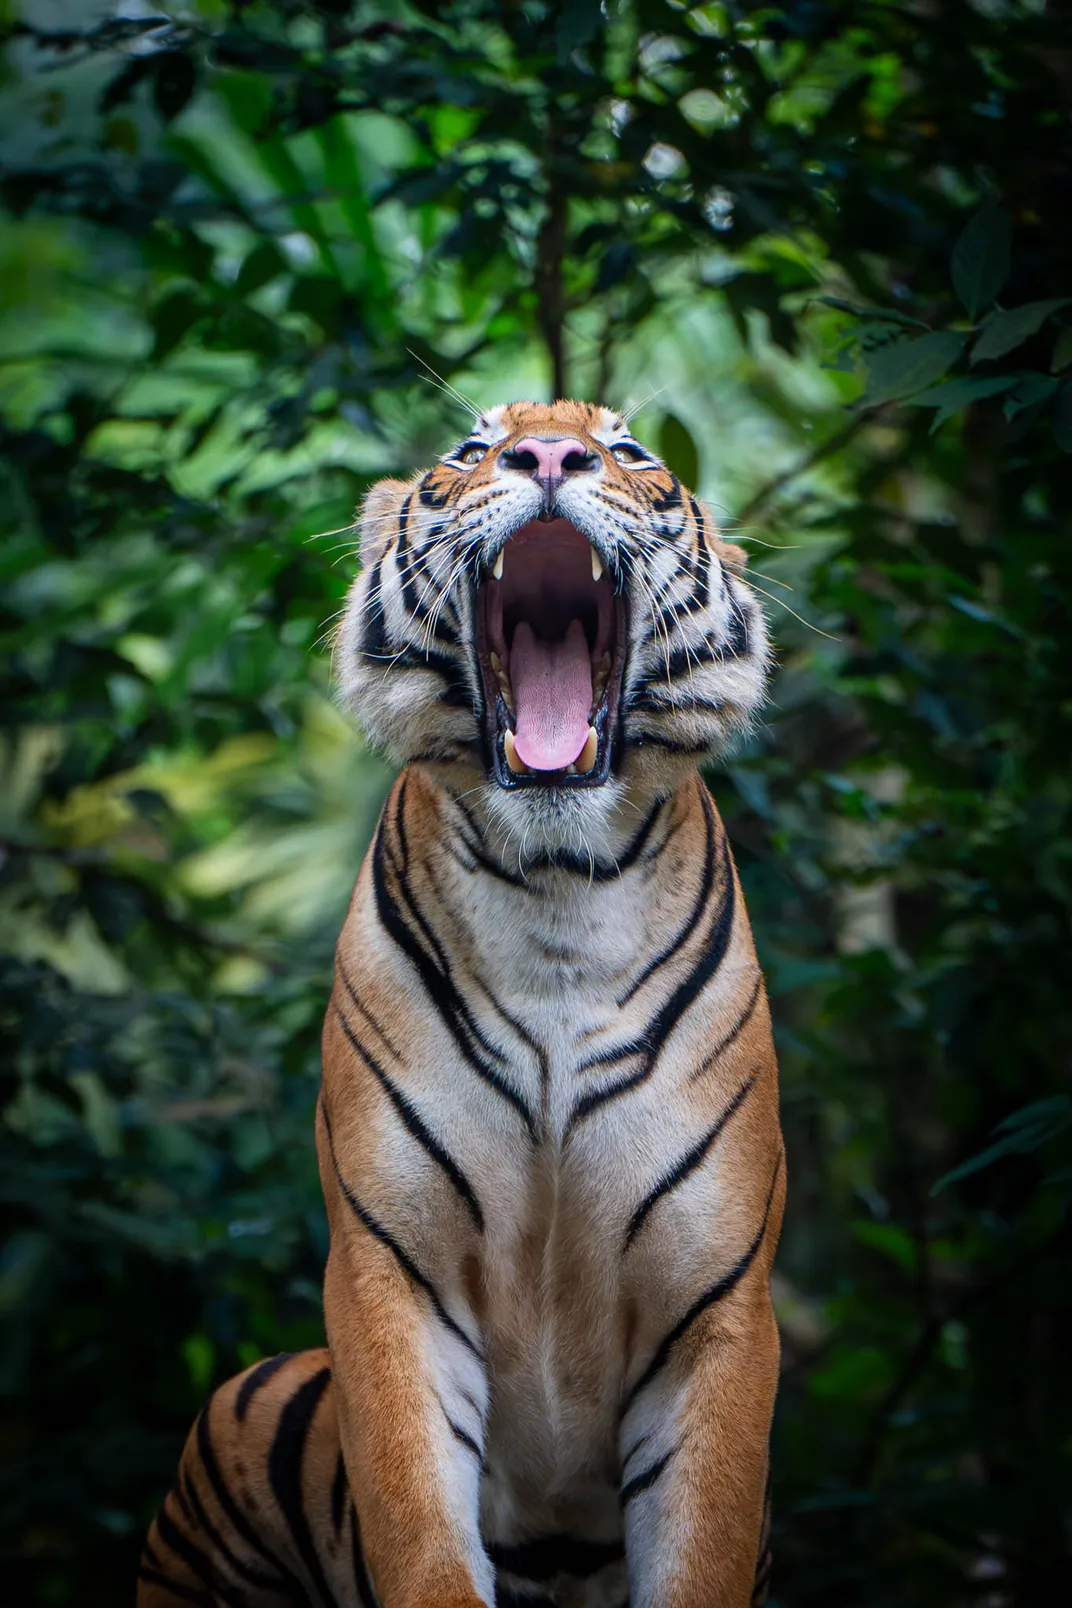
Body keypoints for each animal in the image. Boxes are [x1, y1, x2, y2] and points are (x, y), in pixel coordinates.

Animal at [138, 392, 784, 1608]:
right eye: (472, 450)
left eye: (628, 451)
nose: (549, 454)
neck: (559, 896)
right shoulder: (390, 1272)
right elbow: (418, 1529)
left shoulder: (717, 1306)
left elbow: (706, 1543)